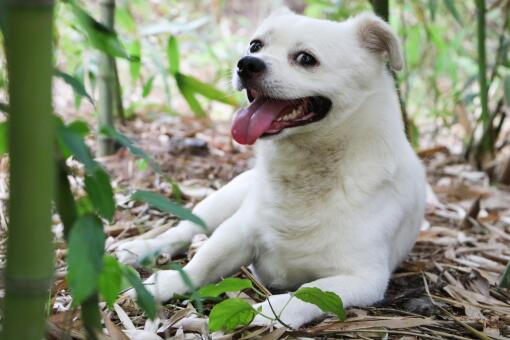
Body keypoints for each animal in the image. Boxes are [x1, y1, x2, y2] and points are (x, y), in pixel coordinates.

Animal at [115, 8, 426, 330]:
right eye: (255, 45)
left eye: (306, 59)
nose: (246, 64)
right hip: (219, 203)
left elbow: (305, 294)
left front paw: (264, 311)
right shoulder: (237, 231)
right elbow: (202, 263)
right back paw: (142, 248)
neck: (307, 172)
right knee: (184, 229)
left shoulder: (364, 279)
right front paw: (162, 284)